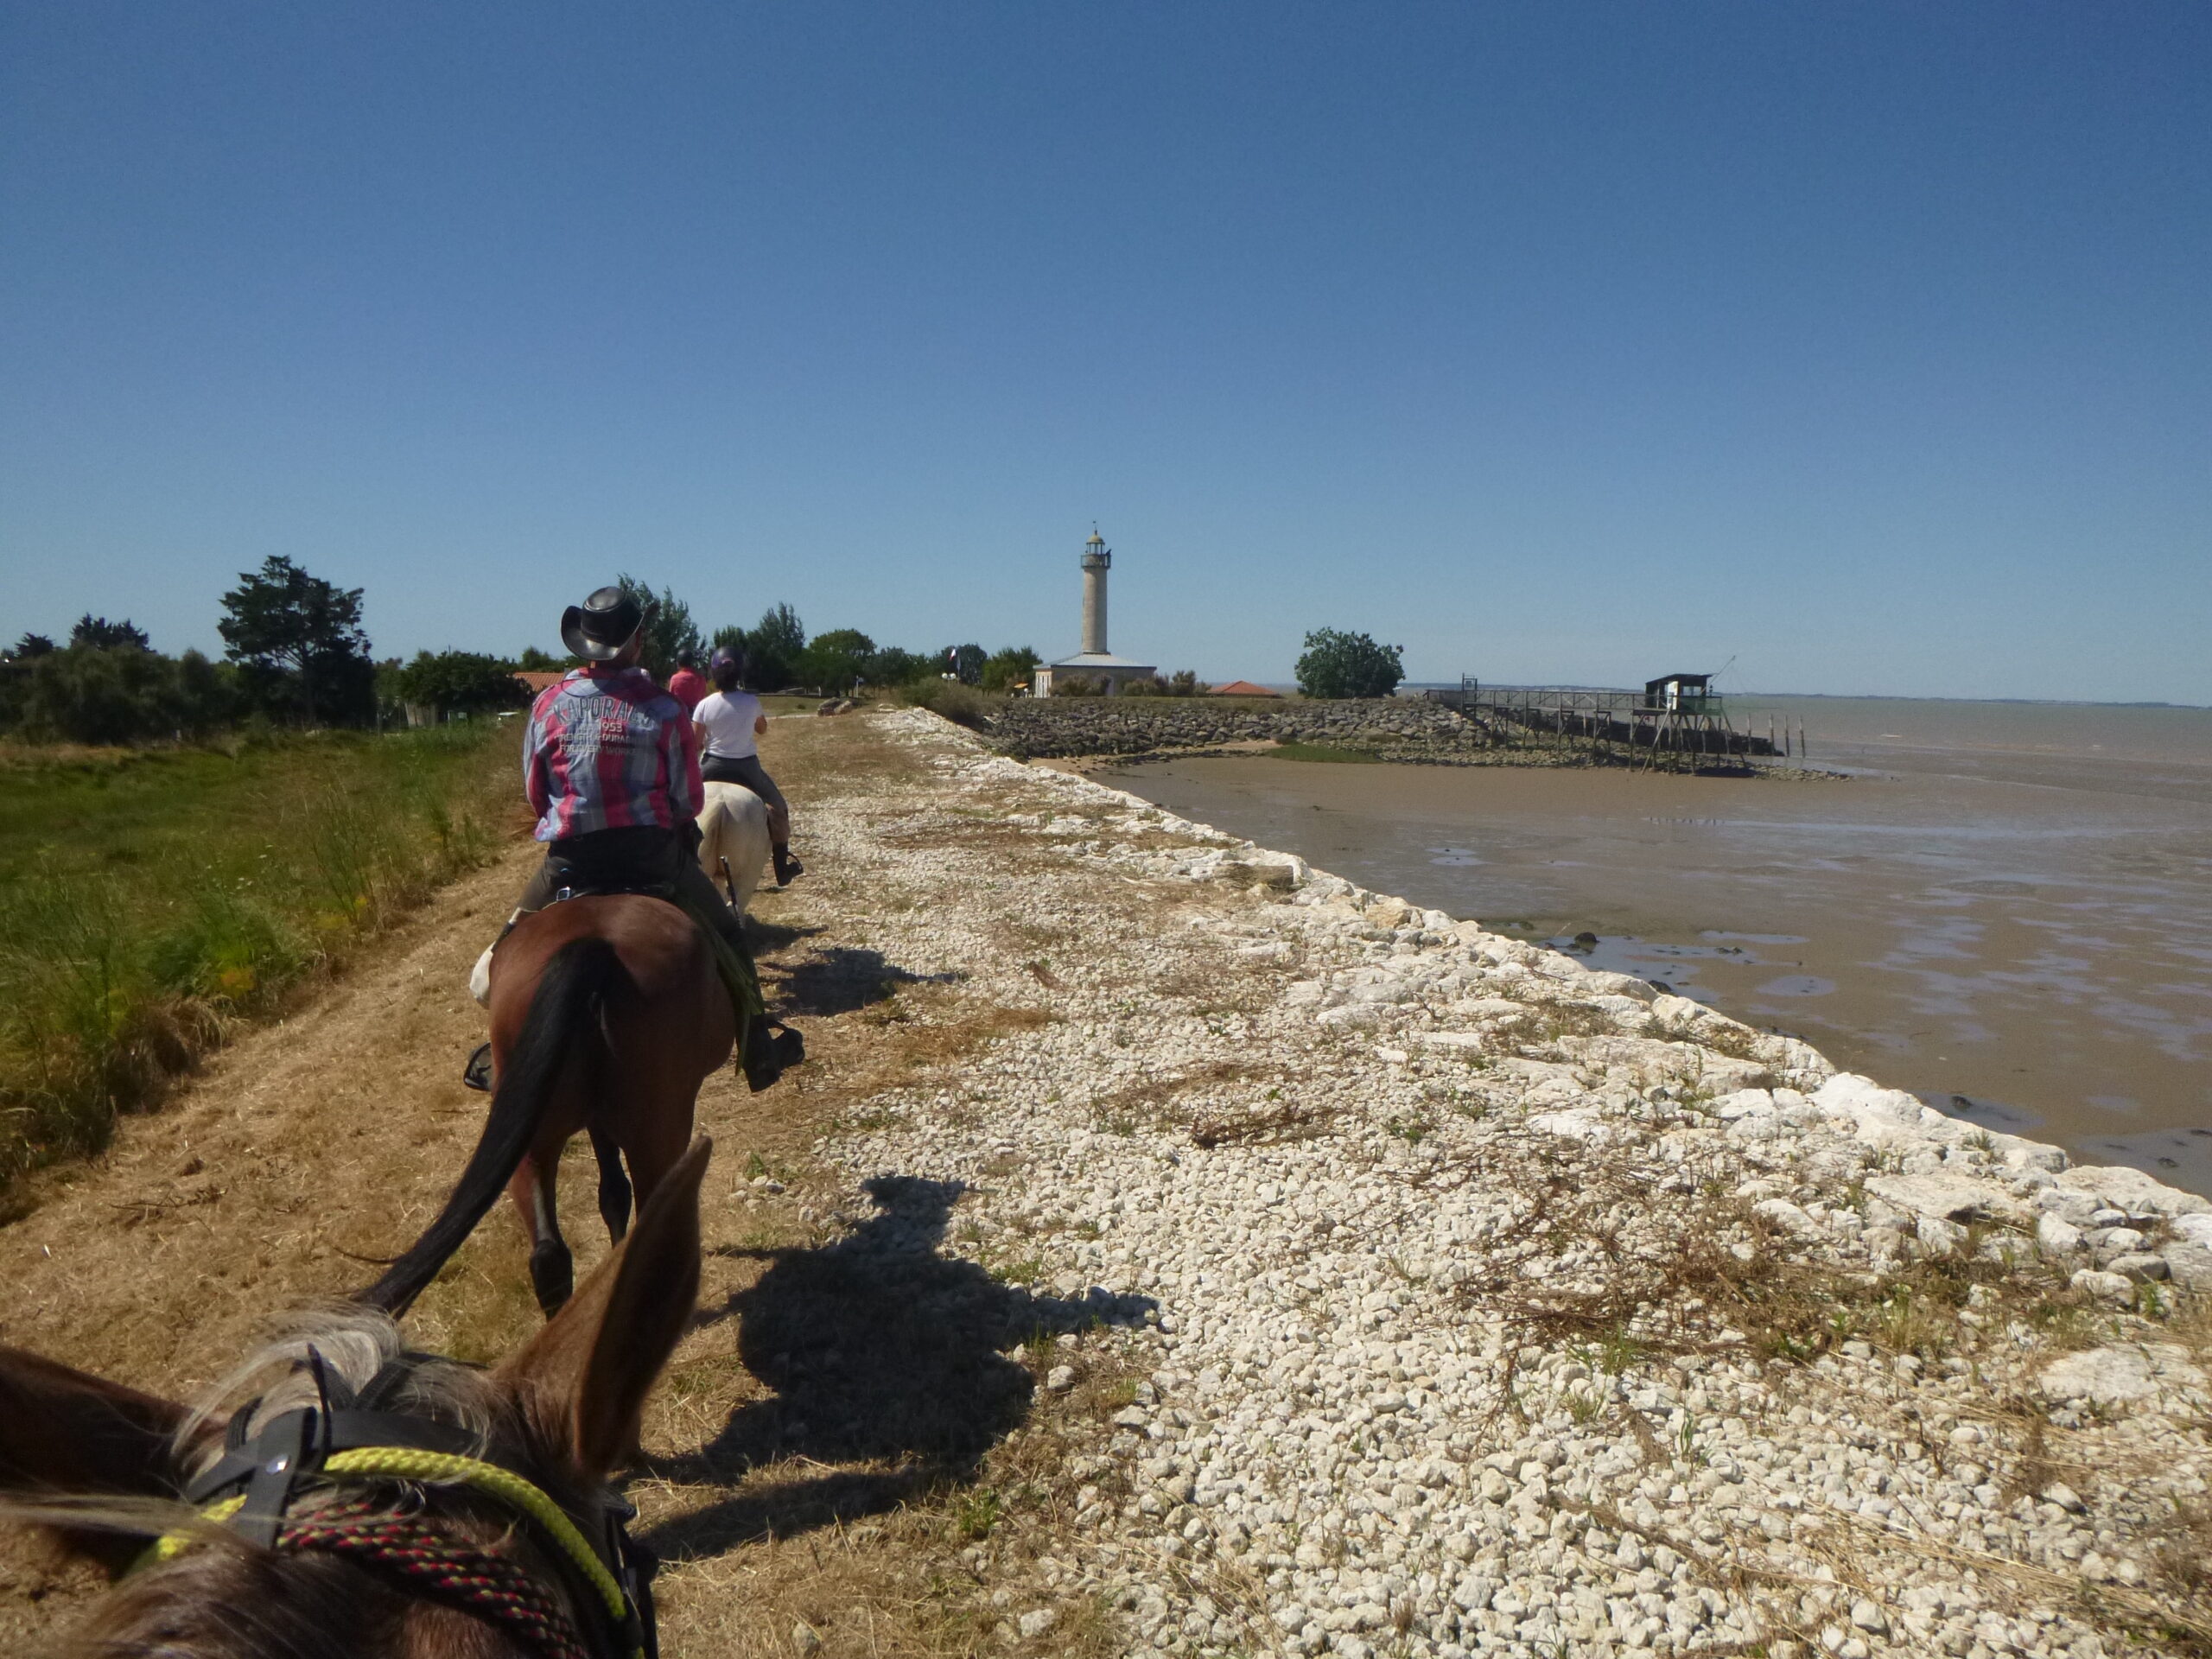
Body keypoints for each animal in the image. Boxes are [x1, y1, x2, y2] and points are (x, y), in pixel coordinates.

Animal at [362, 902, 734, 1318]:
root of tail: (592, 948)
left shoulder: (595, 1122)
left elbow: (612, 1193)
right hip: (658, 1132)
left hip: (533, 1144)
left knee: (549, 1255)